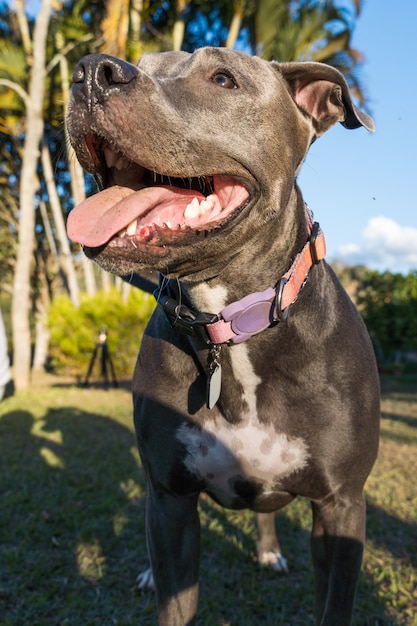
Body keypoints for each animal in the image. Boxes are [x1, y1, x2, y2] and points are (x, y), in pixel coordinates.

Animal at [66, 47, 380, 624]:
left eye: (223, 79)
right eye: (146, 62)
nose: (91, 71)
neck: (229, 324)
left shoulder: (341, 506)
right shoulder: (170, 498)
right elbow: (173, 598)